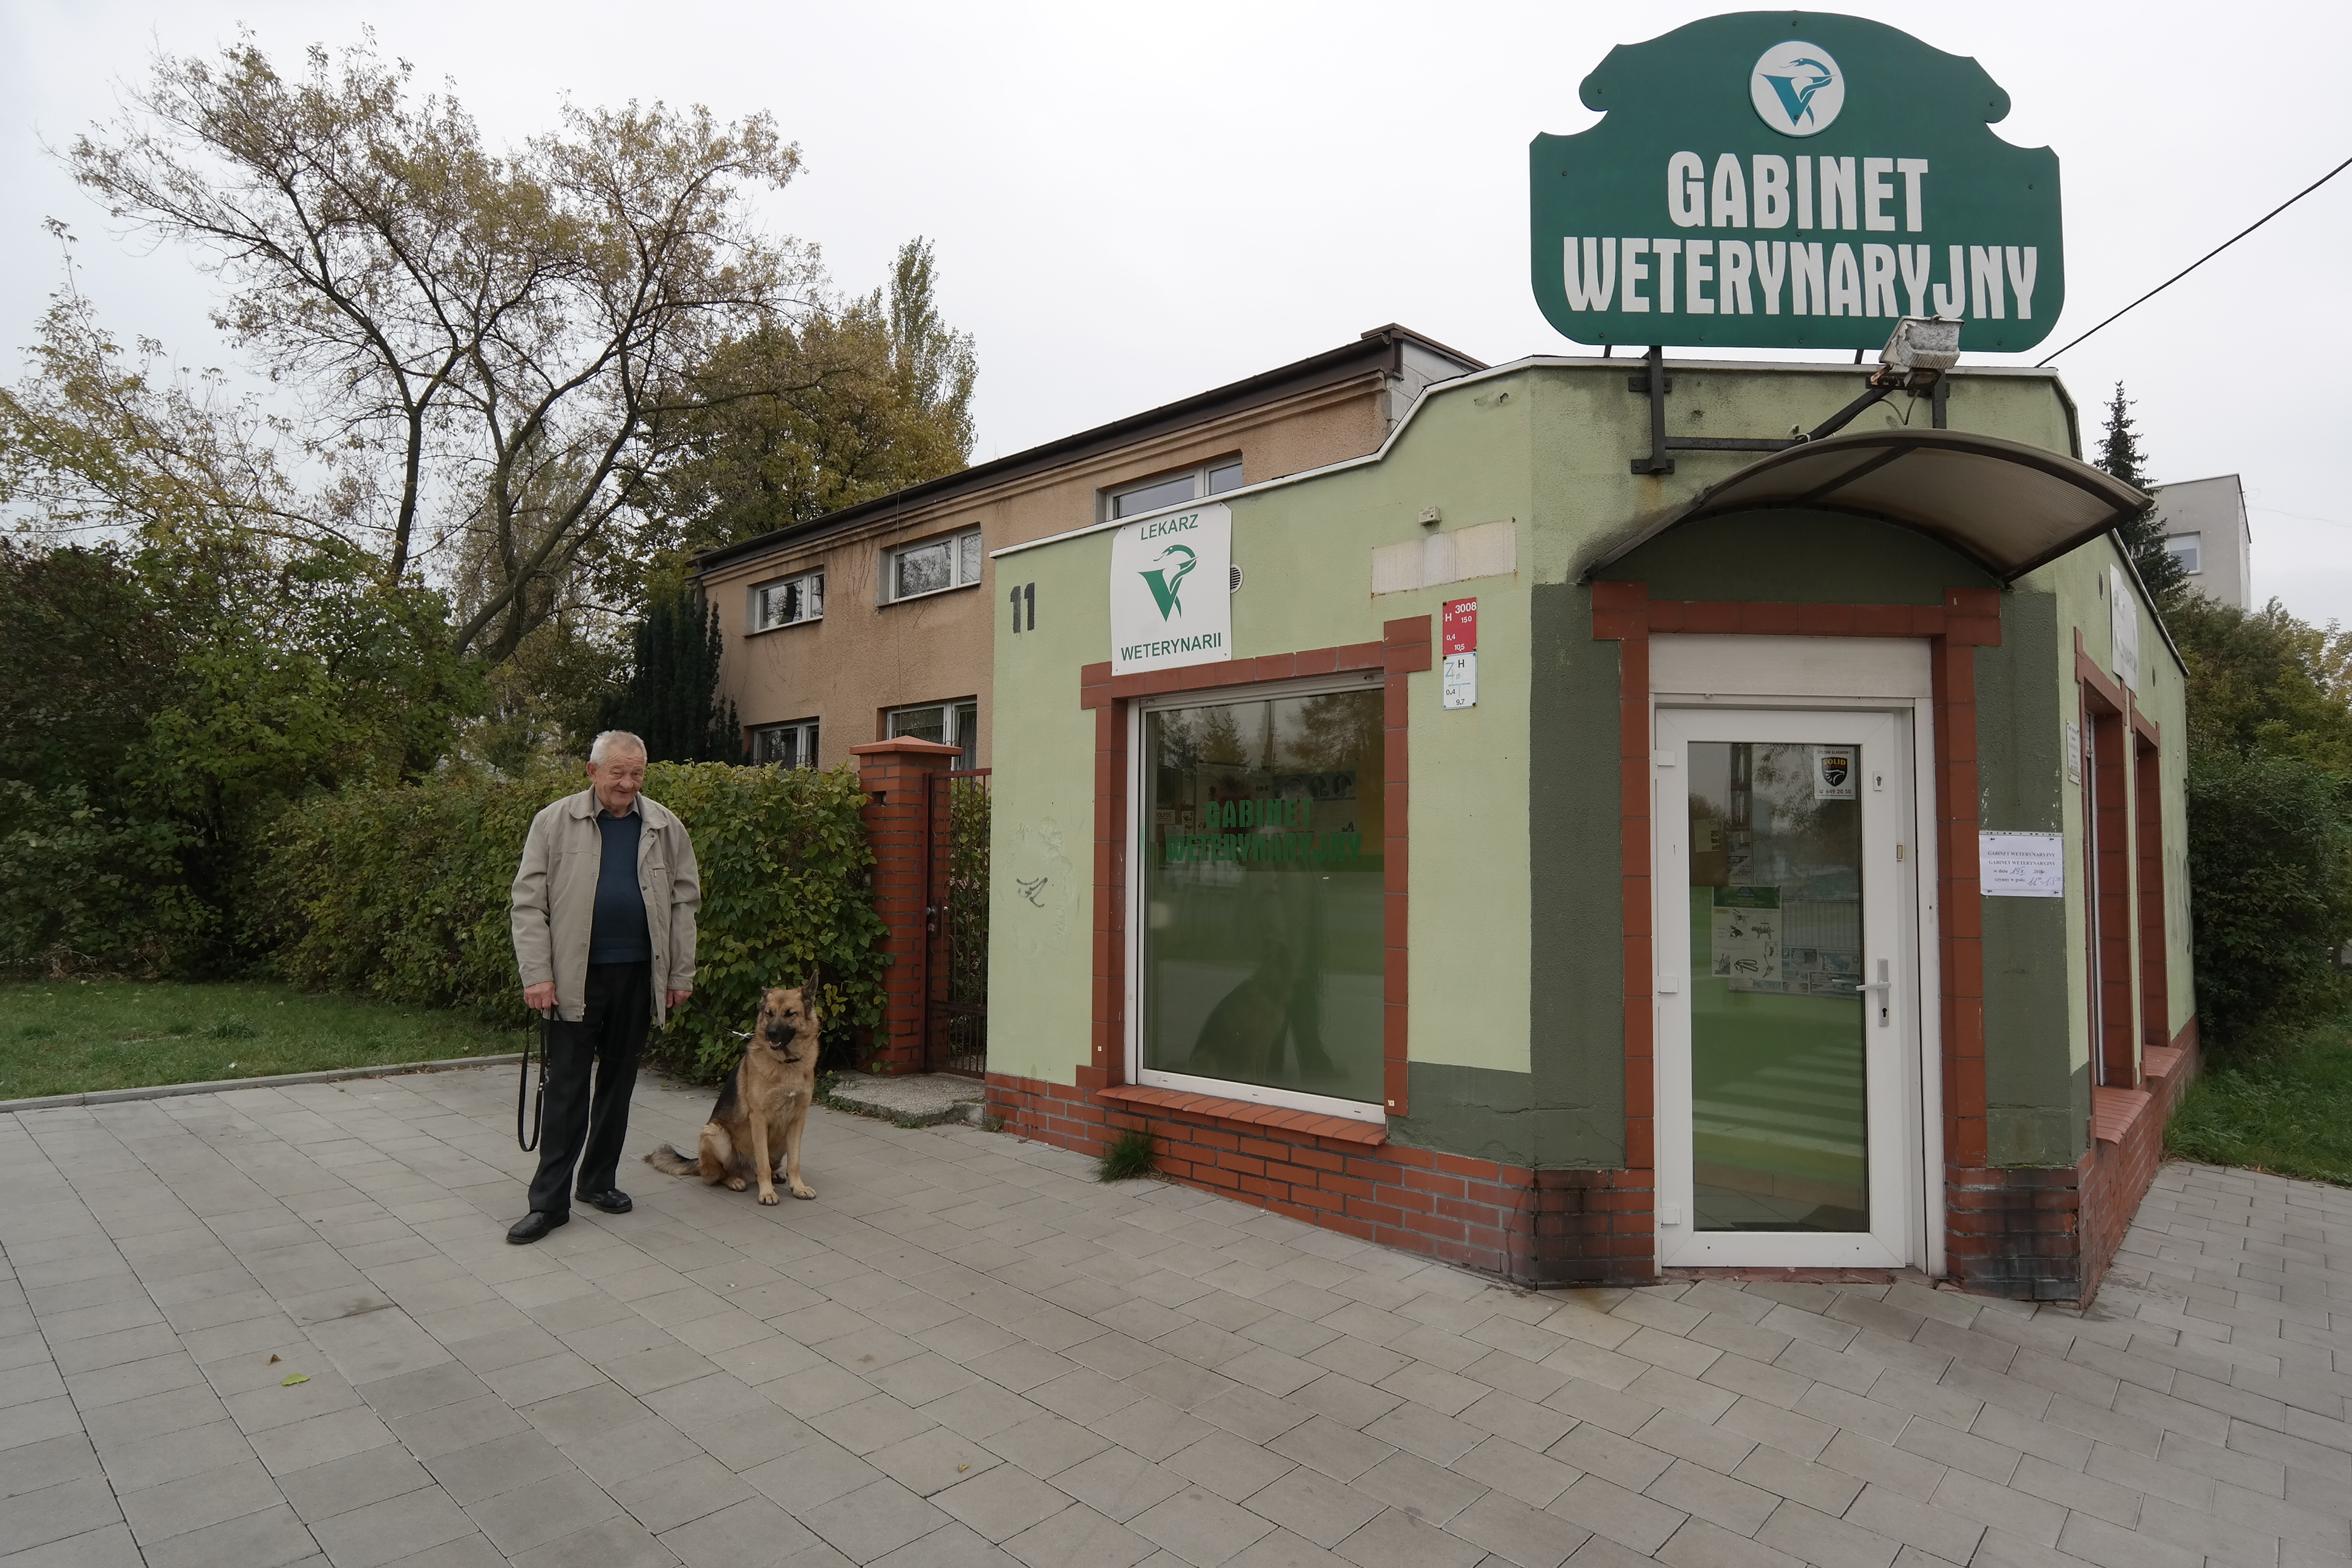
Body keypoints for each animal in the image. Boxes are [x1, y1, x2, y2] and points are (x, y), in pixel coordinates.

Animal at [645, 984, 819, 1204]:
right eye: (769, 1013)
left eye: (790, 1013)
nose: (770, 1034)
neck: (786, 1064)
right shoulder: (759, 1119)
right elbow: (762, 1163)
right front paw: (767, 1193)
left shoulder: (798, 1120)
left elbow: (794, 1162)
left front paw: (798, 1188)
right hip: (716, 1135)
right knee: (718, 1175)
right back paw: (735, 1181)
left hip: (779, 1143)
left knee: (766, 1166)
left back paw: (775, 1175)